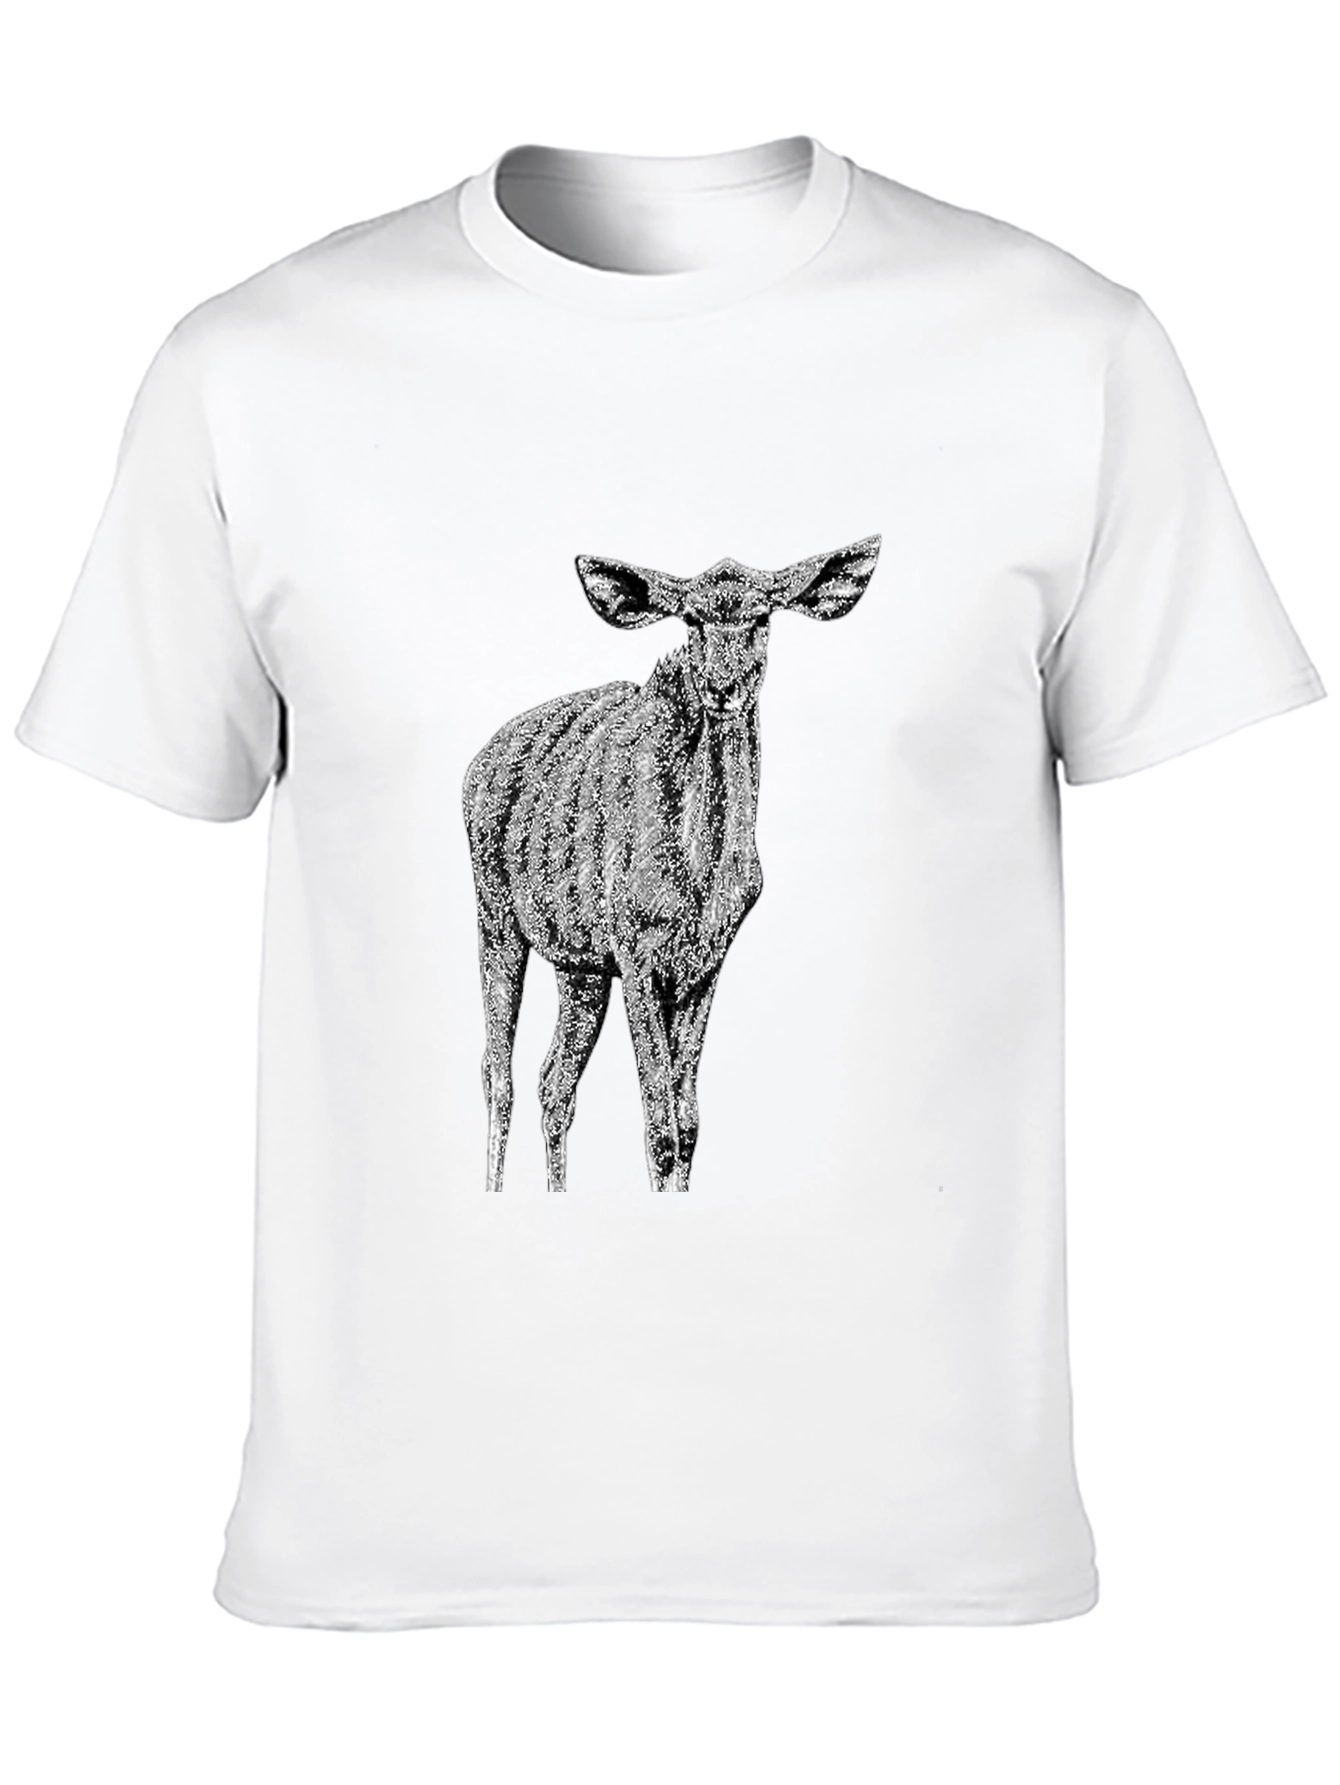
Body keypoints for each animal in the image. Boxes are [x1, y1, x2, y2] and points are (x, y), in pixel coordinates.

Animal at [461, 534, 881, 1195]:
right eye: (691, 619)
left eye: (762, 617)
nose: (722, 686)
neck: (702, 866)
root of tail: (473, 770)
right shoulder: (637, 952)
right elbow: (658, 1125)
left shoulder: (702, 965)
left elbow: (688, 1125)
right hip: (496, 921)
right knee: (497, 1075)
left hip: (579, 968)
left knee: (554, 1083)